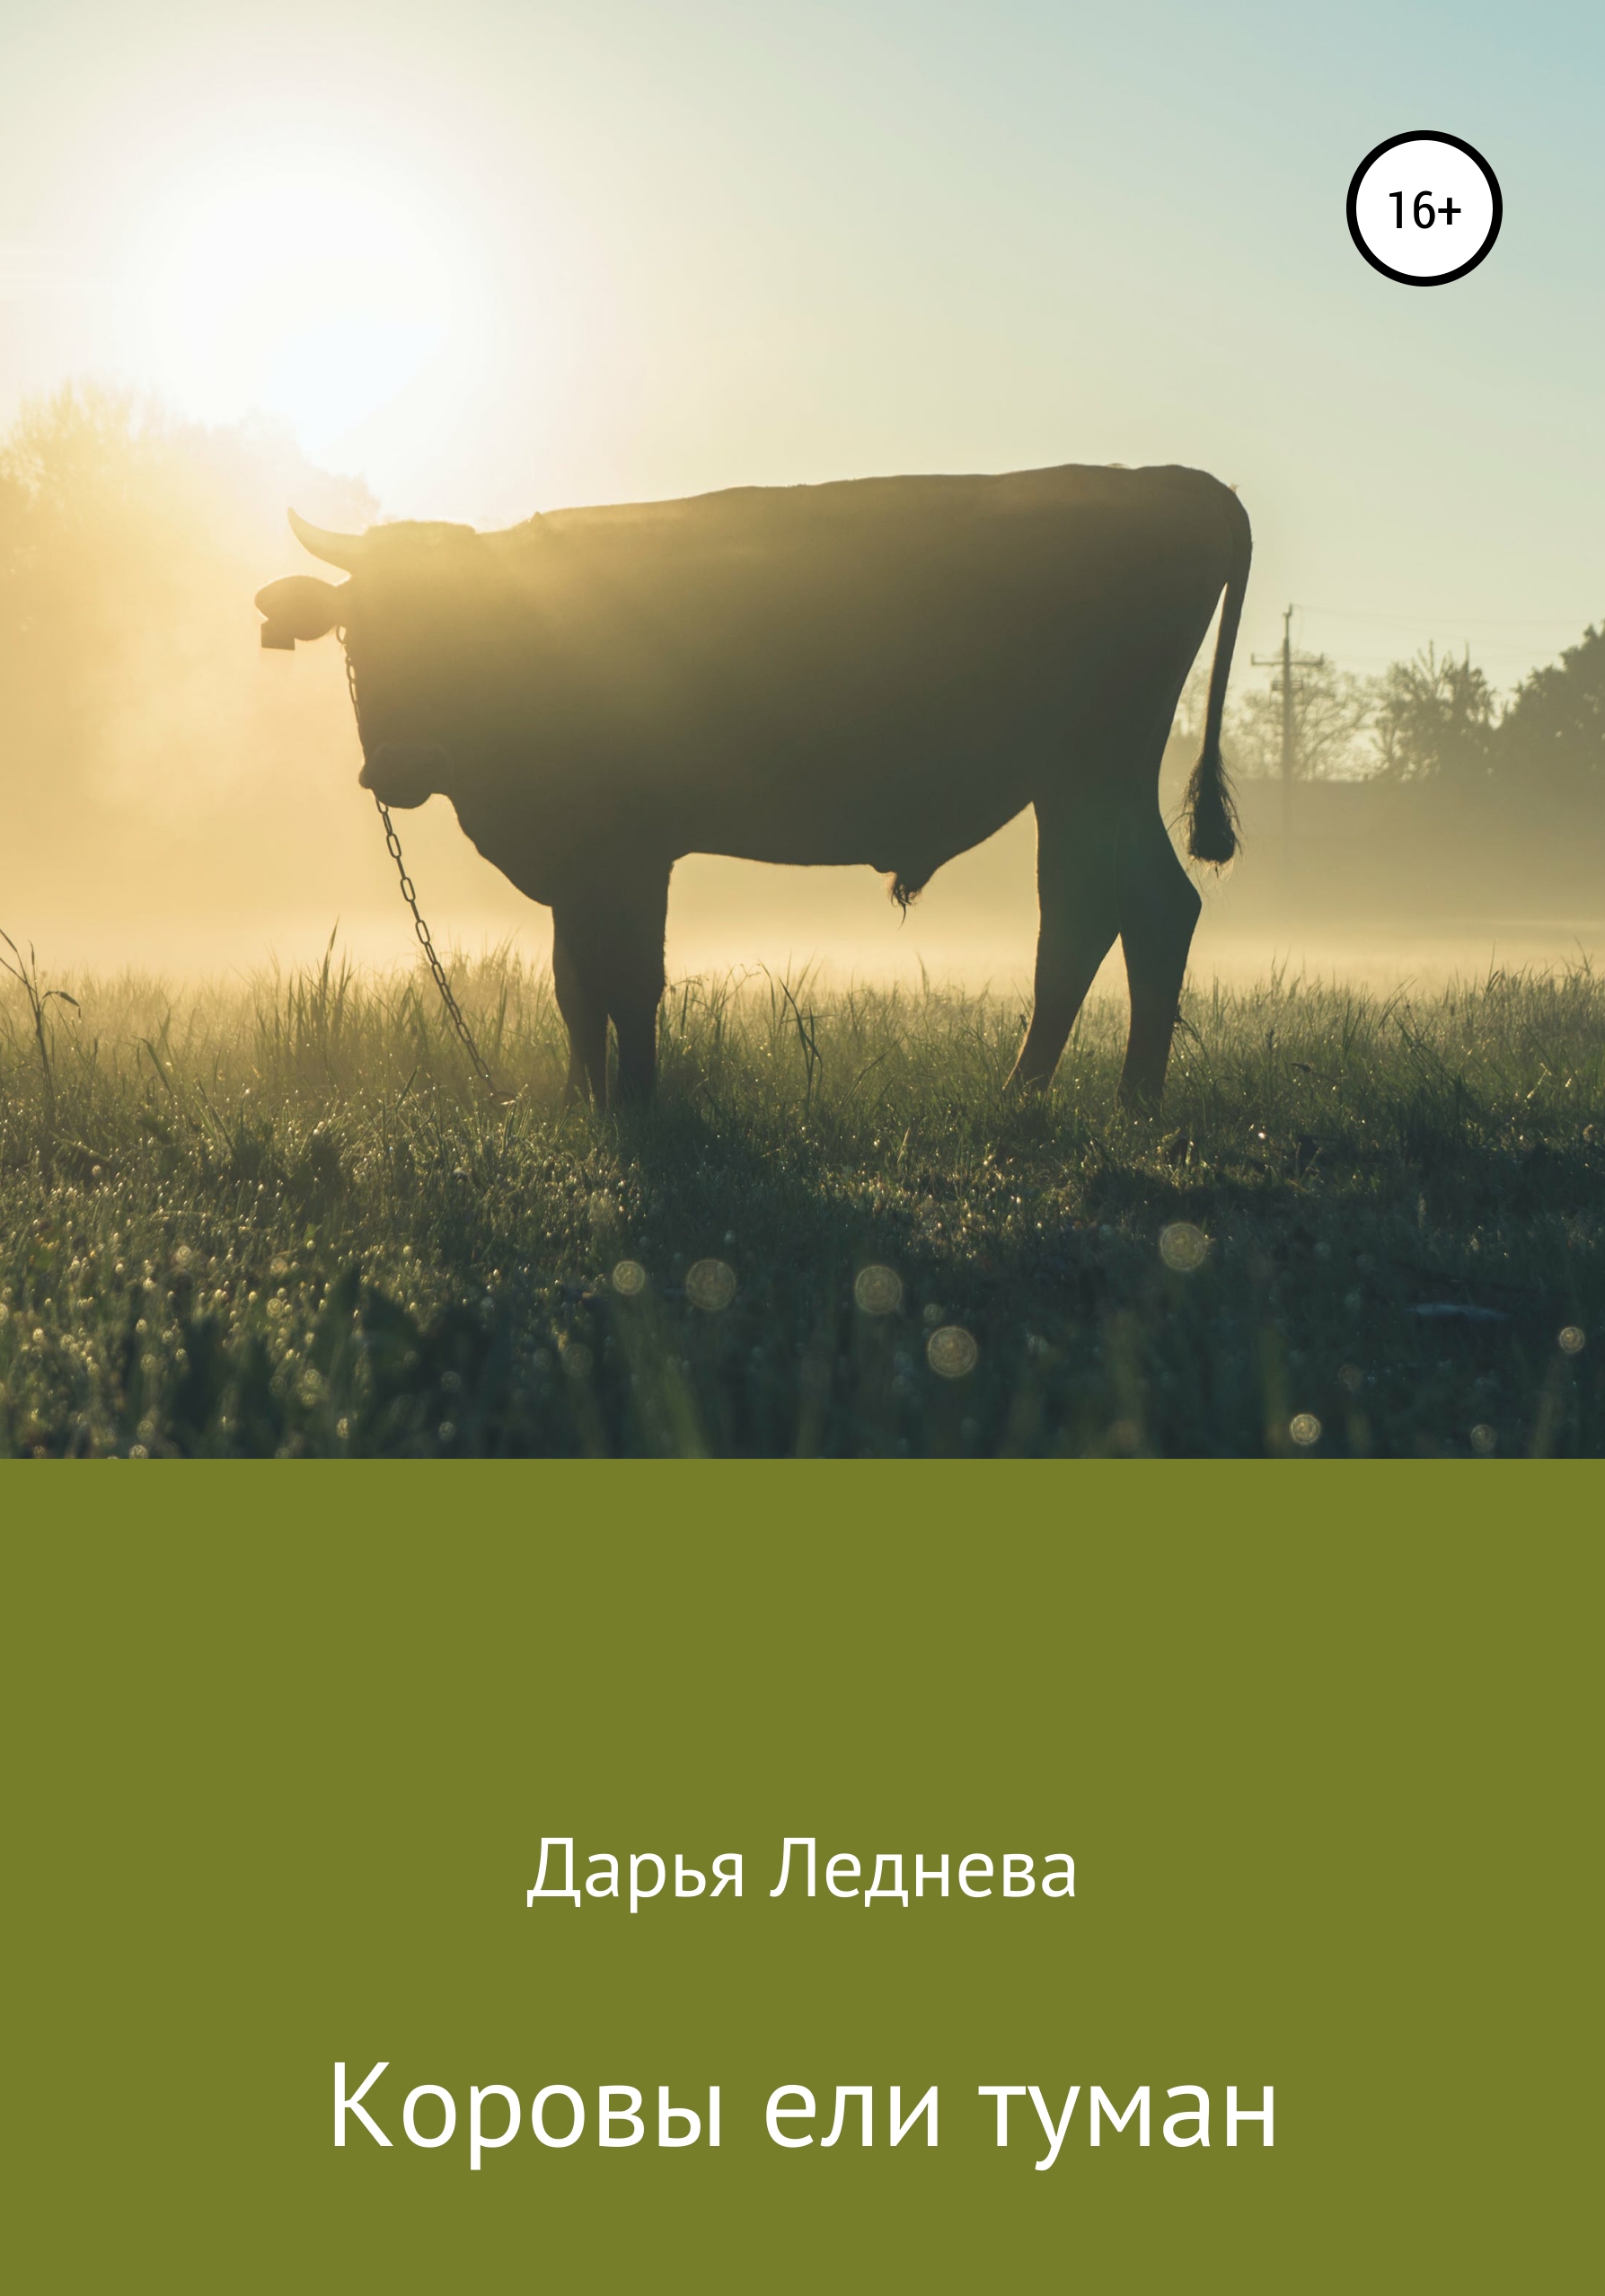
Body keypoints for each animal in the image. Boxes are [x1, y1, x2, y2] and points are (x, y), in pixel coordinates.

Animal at [255, 462, 1249, 1108]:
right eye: (357, 630)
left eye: (466, 625)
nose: (404, 763)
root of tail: (1177, 481)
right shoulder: (578, 863)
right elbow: (573, 983)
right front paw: (582, 1102)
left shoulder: (628, 851)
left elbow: (629, 980)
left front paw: (639, 1105)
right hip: (1087, 783)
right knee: (1121, 913)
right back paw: (1086, 1097)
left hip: (1090, 772)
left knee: (1109, 916)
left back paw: (1072, 1102)